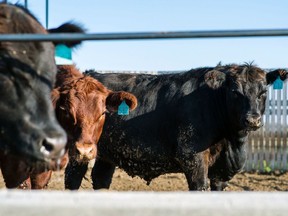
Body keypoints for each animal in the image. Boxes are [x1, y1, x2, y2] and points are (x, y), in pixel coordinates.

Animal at [86, 63, 286, 190]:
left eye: (263, 92)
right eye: (235, 92)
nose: (252, 120)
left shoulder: (221, 173)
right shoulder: (193, 158)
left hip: (107, 154)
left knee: (101, 179)